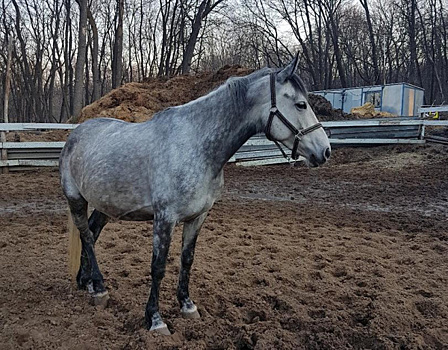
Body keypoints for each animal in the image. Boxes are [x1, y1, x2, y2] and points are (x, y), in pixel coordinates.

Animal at [59, 55, 330, 336]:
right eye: (300, 104)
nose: (325, 151)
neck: (196, 146)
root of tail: (76, 133)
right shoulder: (164, 219)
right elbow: (158, 267)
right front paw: (155, 319)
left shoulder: (198, 216)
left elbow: (187, 259)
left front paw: (187, 306)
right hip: (76, 199)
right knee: (87, 236)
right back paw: (100, 288)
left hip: (106, 204)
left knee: (92, 232)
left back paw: (89, 283)